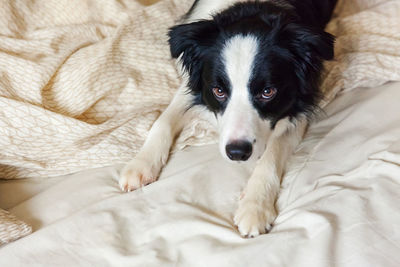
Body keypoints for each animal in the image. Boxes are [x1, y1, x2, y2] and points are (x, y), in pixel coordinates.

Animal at [119, 0, 338, 239]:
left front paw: (255, 206)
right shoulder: (193, 89)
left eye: (268, 92)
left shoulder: (295, 109)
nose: (237, 152)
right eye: (219, 90)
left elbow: (271, 154)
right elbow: (162, 121)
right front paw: (140, 164)